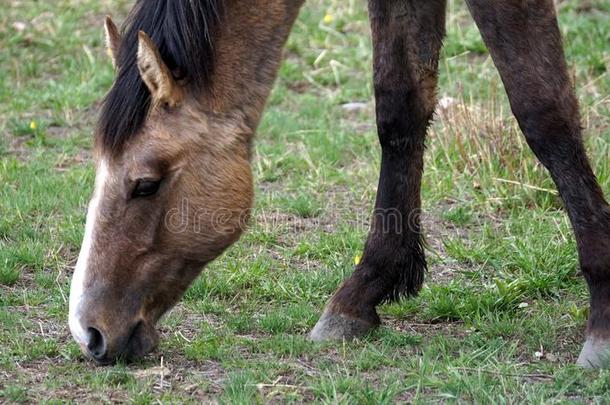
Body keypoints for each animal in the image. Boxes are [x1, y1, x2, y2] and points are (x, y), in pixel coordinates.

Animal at [69, 0, 608, 366]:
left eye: (145, 184)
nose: (89, 331)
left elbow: (543, 109)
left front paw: (602, 319)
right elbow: (399, 106)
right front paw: (363, 292)